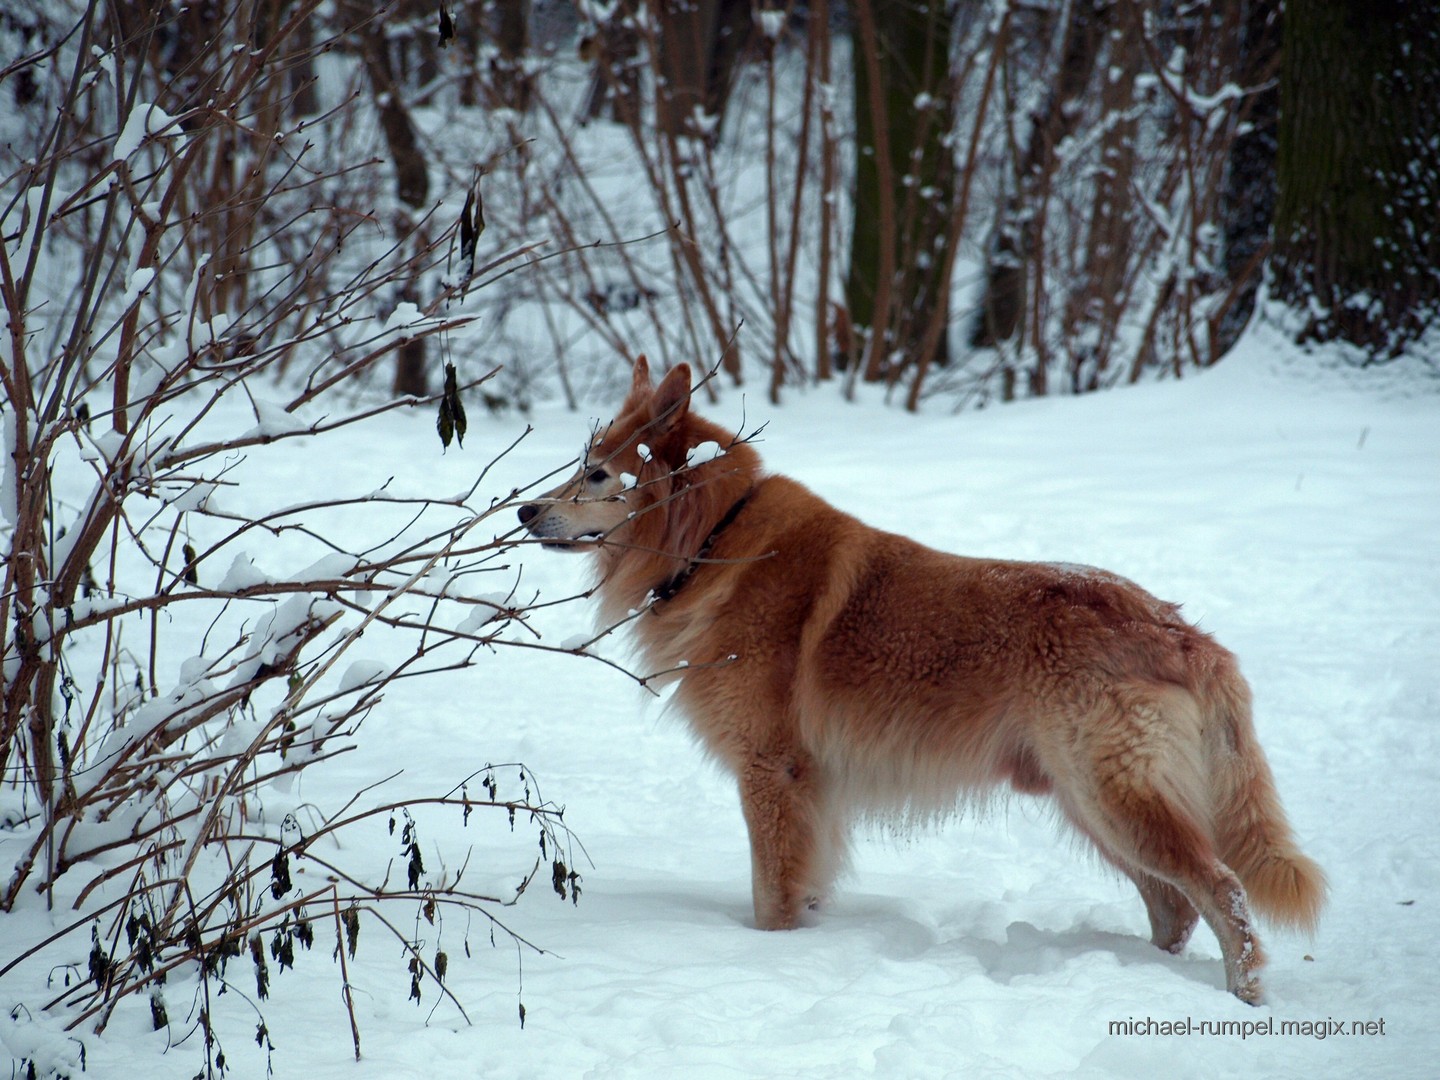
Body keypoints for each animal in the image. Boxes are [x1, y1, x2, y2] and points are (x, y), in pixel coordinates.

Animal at [518, 357, 1324, 1008]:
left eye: (598, 474)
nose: (524, 510)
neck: (716, 539)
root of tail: (1182, 632)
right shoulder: (813, 793)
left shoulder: (771, 775)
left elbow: (772, 896)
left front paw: (770, 960)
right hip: (1092, 806)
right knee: (1175, 906)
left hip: (1114, 798)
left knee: (1223, 891)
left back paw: (1244, 995)